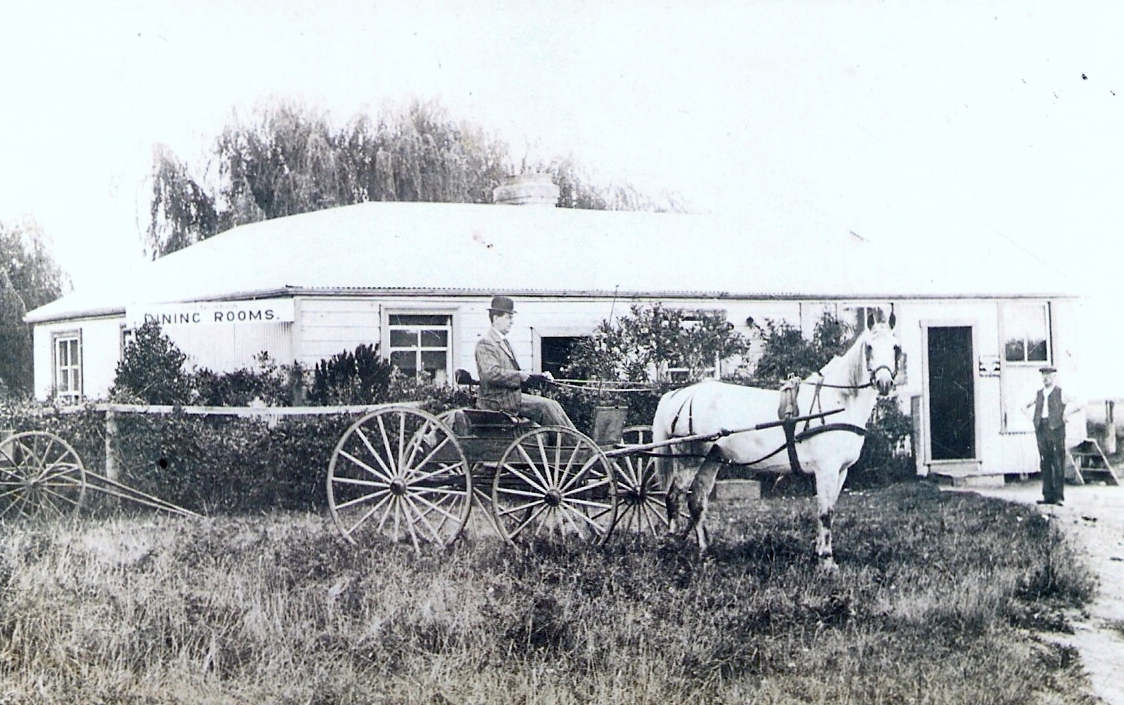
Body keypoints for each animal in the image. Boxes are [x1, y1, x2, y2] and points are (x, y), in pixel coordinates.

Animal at [656, 314, 899, 568]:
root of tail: (681, 394)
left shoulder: (841, 471)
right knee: (674, 498)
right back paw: (672, 548)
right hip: (688, 459)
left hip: (711, 457)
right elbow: (825, 513)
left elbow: (827, 509)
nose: (884, 383)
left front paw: (820, 553)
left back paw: (705, 552)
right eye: (869, 347)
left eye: (895, 347)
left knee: (697, 500)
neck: (838, 400)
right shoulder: (826, 470)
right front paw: (826, 562)